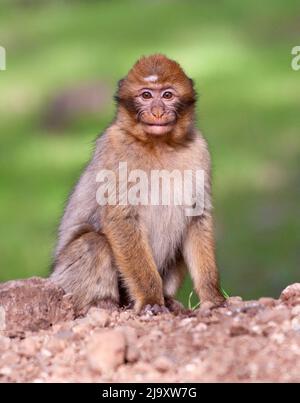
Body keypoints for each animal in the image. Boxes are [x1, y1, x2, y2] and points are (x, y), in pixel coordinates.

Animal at [51, 53, 225, 314]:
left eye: (167, 95)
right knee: (94, 243)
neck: (159, 144)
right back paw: (101, 304)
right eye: (146, 96)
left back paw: (168, 298)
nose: (157, 112)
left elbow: (197, 217)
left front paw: (212, 296)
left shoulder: (199, 149)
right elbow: (121, 218)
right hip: (62, 281)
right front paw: (151, 298)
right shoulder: (115, 149)